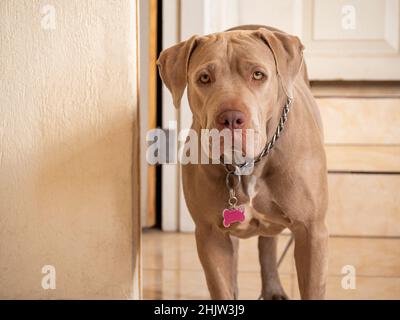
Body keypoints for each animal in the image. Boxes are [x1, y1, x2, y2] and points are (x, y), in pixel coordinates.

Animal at [156, 25, 328, 300]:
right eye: (204, 78)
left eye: (258, 75)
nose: (231, 117)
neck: (247, 165)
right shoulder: (210, 234)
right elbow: (222, 285)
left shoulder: (312, 231)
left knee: (267, 242)